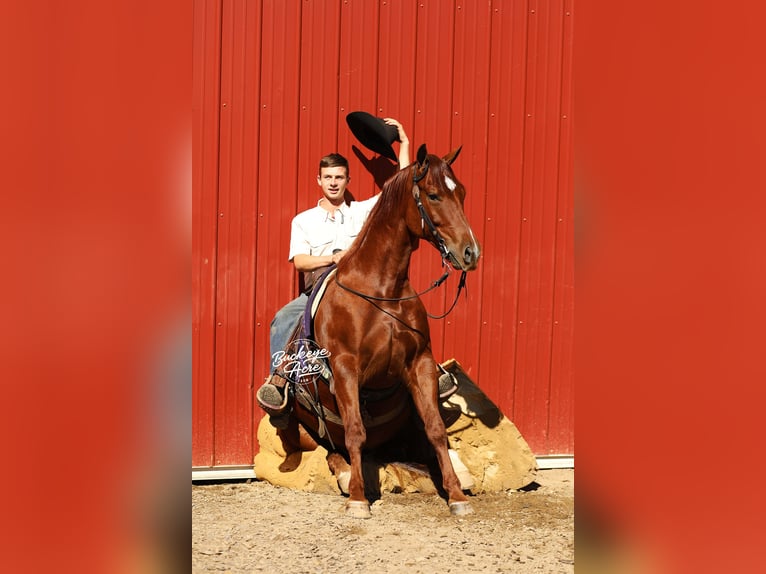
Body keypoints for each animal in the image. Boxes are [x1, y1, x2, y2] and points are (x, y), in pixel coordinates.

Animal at [272, 143, 481, 518]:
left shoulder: (420, 363)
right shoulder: (345, 367)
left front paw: (457, 495)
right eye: (433, 195)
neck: (382, 290)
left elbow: (437, 430)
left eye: (462, 193)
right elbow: (355, 431)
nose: (470, 252)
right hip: (303, 429)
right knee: (331, 450)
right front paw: (358, 499)